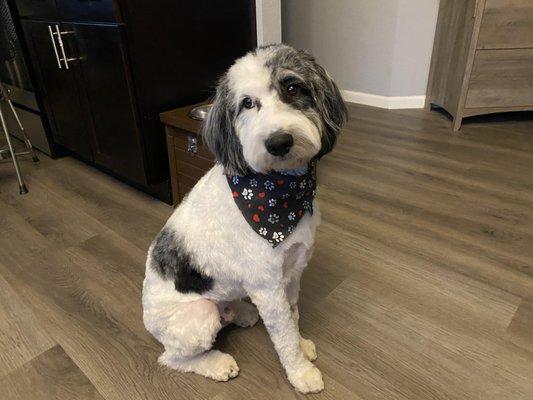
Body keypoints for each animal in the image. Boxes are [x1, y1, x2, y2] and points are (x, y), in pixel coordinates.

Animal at [141, 44, 348, 394]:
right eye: (247, 103)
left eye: (293, 88)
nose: (279, 142)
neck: (279, 193)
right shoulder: (268, 286)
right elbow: (283, 335)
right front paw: (301, 373)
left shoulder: (292, 271)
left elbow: (293, 316)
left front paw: (302, 344)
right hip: (197, 316)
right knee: (173, 358)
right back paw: (216, 363)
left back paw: (241, 312)